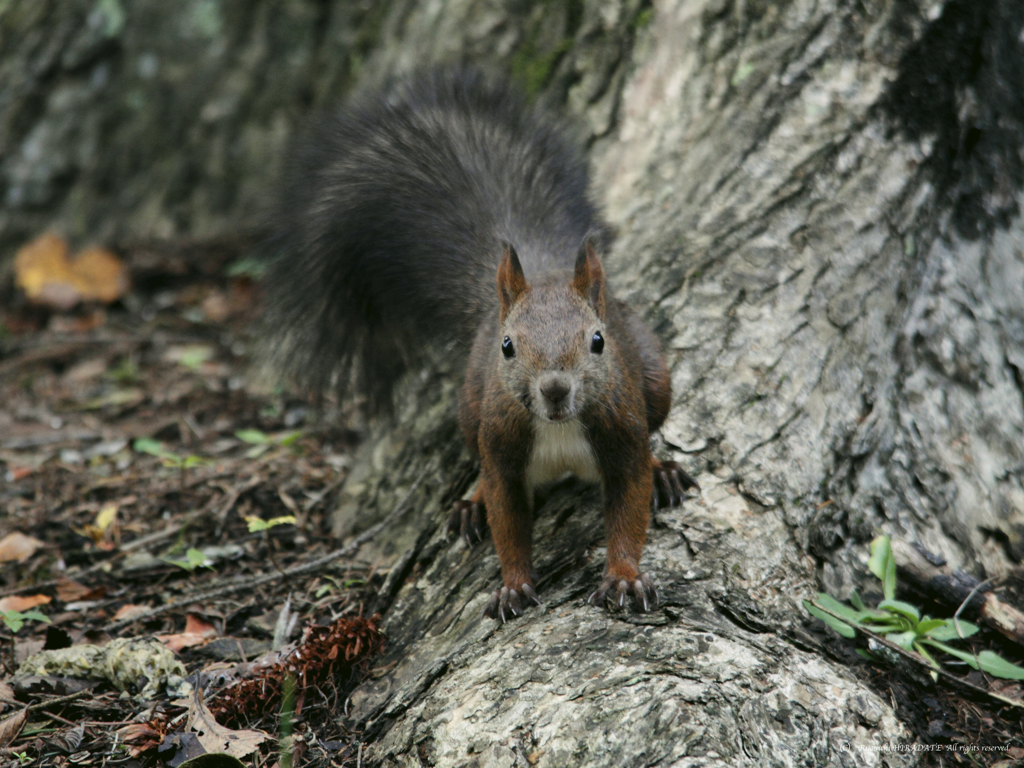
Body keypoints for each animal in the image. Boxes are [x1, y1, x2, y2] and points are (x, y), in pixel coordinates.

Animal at [260, 69, 700, 622]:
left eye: (599, 341)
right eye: (508, 347)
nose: (555, 389)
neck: (559, 430)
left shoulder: (621, 437)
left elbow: (628, 513)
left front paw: (623, 577)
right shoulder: (502, 447)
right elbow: (506, 521)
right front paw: (512, 586)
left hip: (655, 380)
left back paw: (665, 471)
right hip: (470, 409)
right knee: (481, 474)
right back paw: (471, 504)